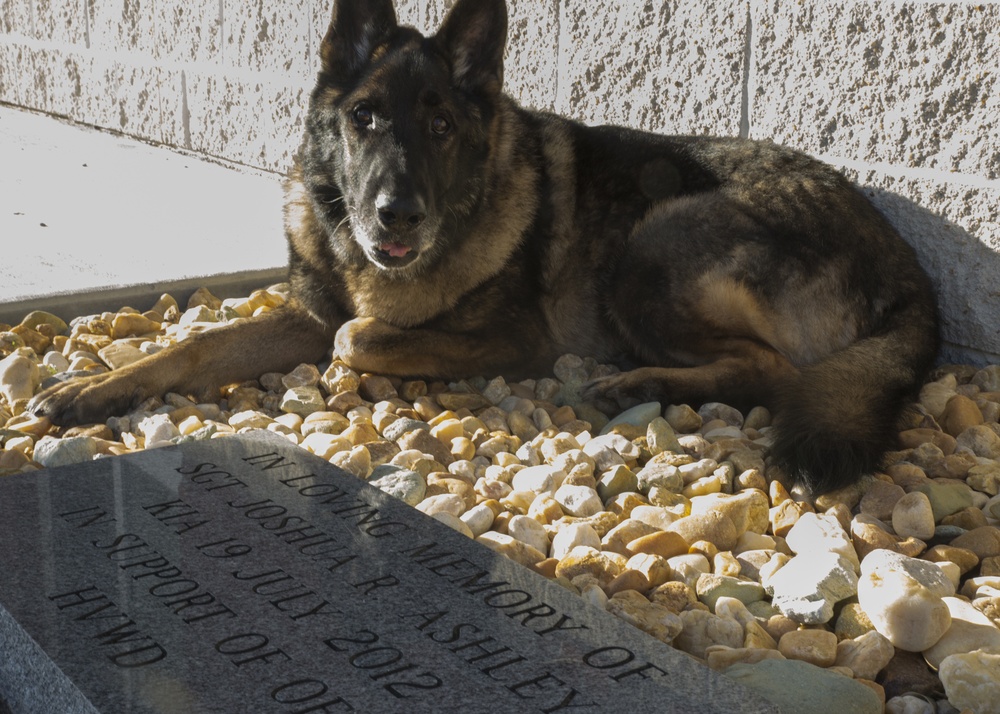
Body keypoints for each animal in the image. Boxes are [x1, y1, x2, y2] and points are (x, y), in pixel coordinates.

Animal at [31, 0, 936, 492]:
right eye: (363, 118)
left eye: (440, 127)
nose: (396, 217)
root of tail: (910, 272)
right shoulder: (303, 315)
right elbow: (198, 346)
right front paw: (96, 388)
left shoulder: (511, 338)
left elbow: (358, 337)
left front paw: (372, 342)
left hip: (652, 245)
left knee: (775, 370)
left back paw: (638, 381)